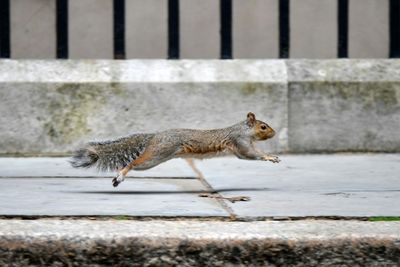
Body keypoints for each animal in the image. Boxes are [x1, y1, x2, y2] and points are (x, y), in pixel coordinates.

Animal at [70, 112, 280, 187]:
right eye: (263, 127)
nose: (274, 132)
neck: (243, 130)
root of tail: (155, 136)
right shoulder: (240, 142)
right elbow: (250, 155)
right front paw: (270, 157)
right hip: (155, 156)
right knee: (133, 163)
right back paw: (120, 176)